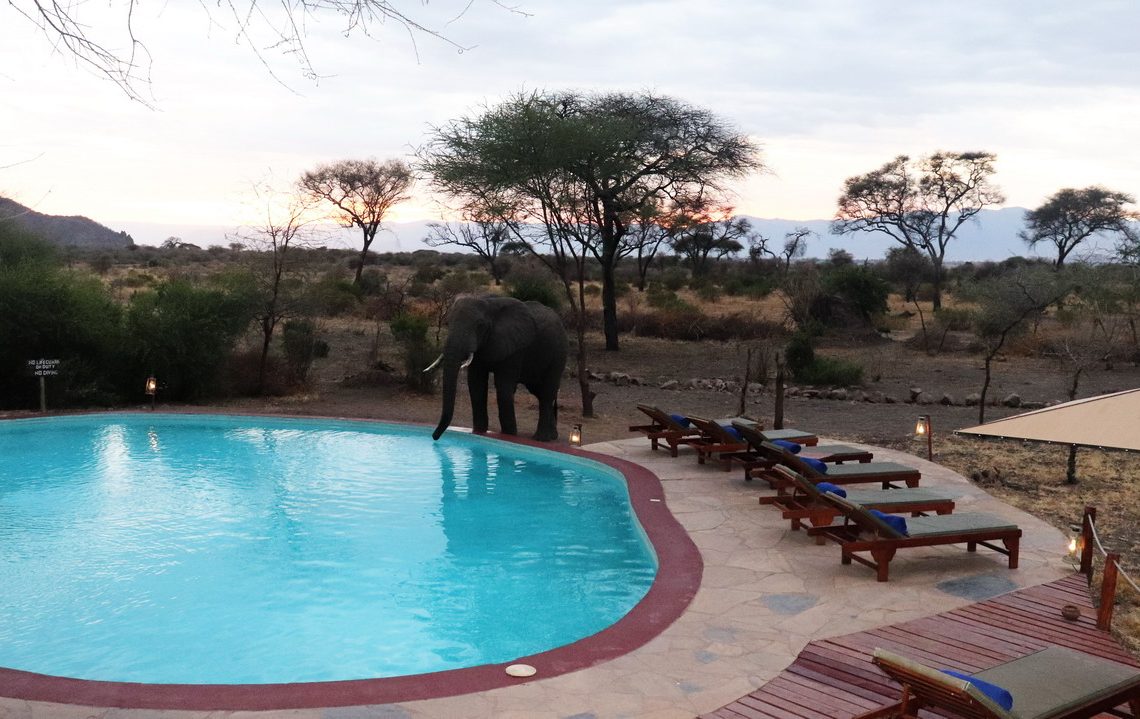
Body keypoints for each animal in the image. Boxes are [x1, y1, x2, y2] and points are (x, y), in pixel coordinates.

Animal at [429, 295, 568, 442]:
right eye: (449, 322)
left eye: (480, 325)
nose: (434, 437)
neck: (490, 303)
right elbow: (476, 385)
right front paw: (479, 431)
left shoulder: (516, 348)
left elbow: (503, 387)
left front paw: (509, 435)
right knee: (540, 392)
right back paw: (552, 436)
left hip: (559, 353)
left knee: (547, 392)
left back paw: (541, 439)